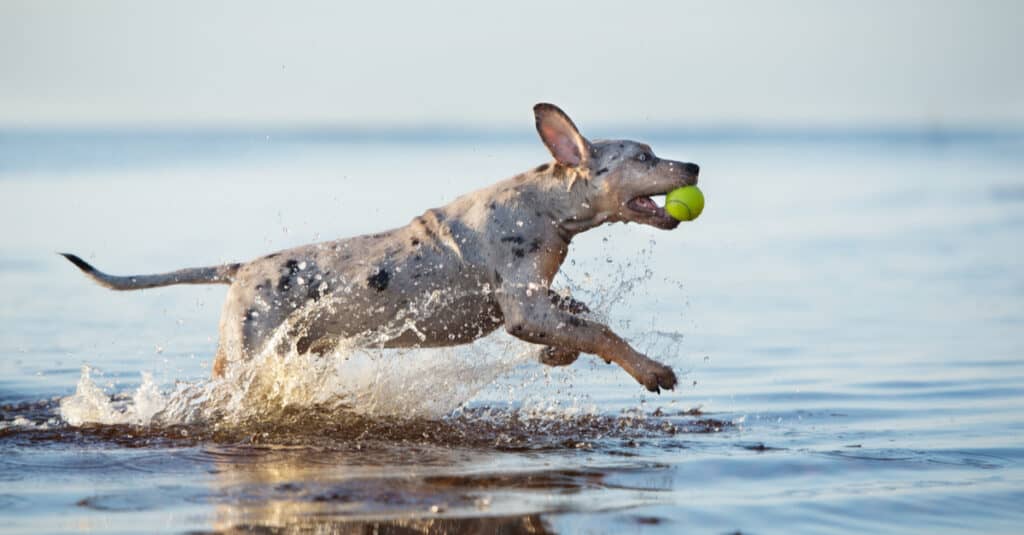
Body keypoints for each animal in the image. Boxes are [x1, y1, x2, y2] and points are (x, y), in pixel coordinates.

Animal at [61, 101, 696, 389]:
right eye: (644, 157)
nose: (691, 165)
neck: (545, 202)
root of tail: (240, 269)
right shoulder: (524, 306)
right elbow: (600, 332)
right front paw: (650, 369)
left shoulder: (538, 299)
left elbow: (583, 321)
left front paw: (557, 354)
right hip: (251, 352)